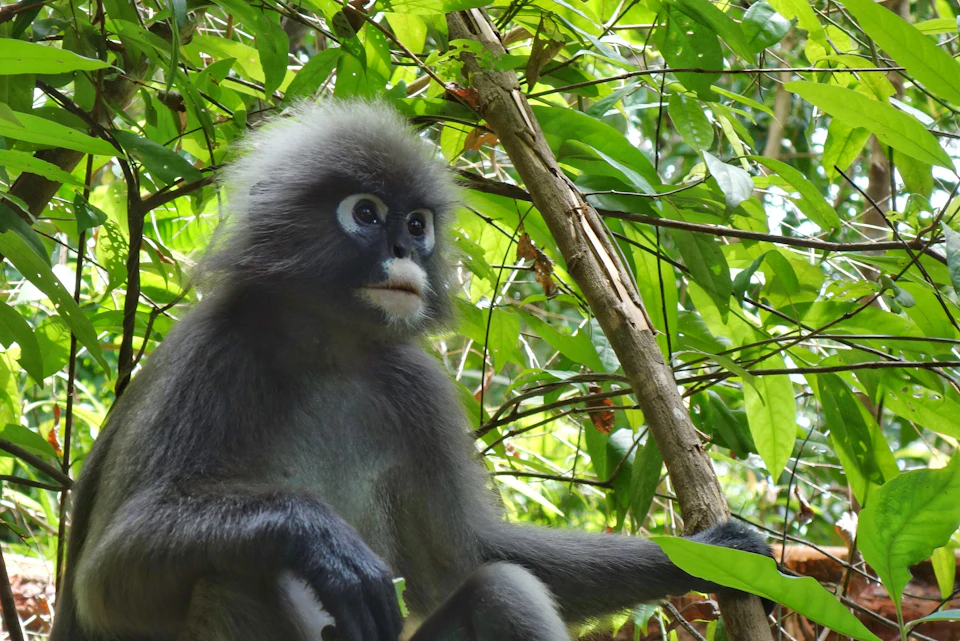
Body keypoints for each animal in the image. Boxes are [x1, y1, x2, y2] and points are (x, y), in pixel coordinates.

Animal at [50, 100, 772, 641]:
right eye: (366, 213)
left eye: (418, 224)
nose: (404, 246)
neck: (327, 348)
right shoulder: (214, 354)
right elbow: (103, 579)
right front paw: (323, 541)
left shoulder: (414, 385)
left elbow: (468, 555)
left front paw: (712, 554)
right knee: (231, 576)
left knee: (502, 588)